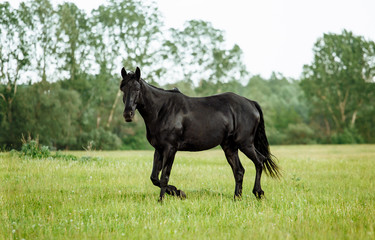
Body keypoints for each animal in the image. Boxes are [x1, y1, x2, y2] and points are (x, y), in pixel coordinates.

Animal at [120, 66, 282, 202]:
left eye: (137, 89)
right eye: (122, 88)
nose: (128, 115)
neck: (162, 110)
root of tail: (251, 103)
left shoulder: (170, 148)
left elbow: (164, 176)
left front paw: (163, 199)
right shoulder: (159, 149)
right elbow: (154, 177)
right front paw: (178, 192)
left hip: (245, 144)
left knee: (259, 161)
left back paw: (258, 193)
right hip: (230, 147)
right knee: (239, 170)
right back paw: (237, 198)